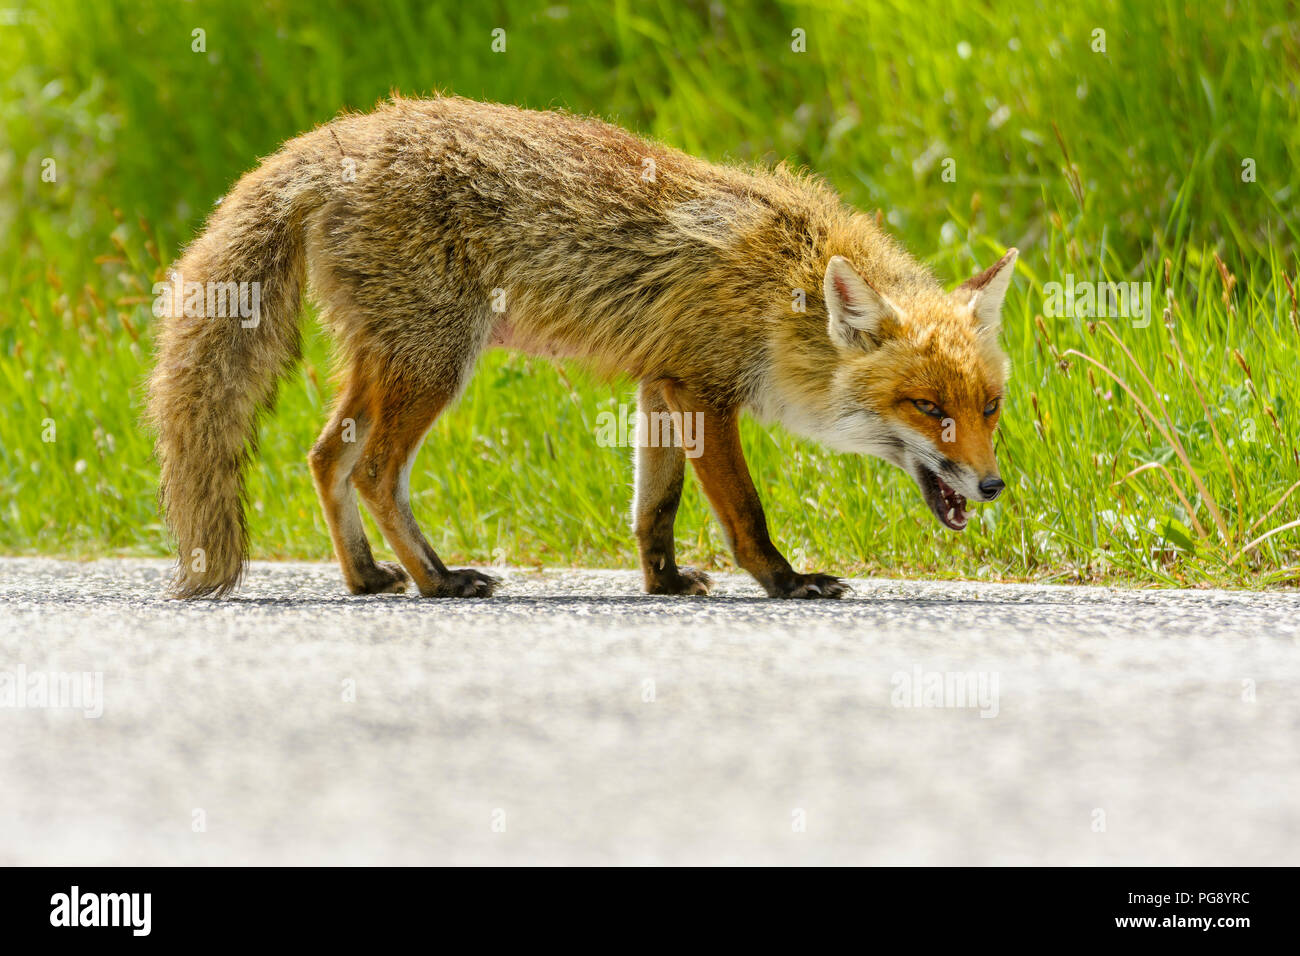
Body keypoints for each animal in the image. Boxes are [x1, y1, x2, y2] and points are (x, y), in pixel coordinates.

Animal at [147, 98, 1019, 606]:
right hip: (434, 364)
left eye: (990, 407)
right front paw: (785, 581)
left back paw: (366, 578)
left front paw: (663, 583)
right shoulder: (704, 392)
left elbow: (654, 508)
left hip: (390, 361)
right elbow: (744, 510)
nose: (992, 486)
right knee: (372, 471)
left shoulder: (662, 387)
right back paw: (437, 580)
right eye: (926, 407)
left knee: (326, 457)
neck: (783, 287)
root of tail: (339, 138)